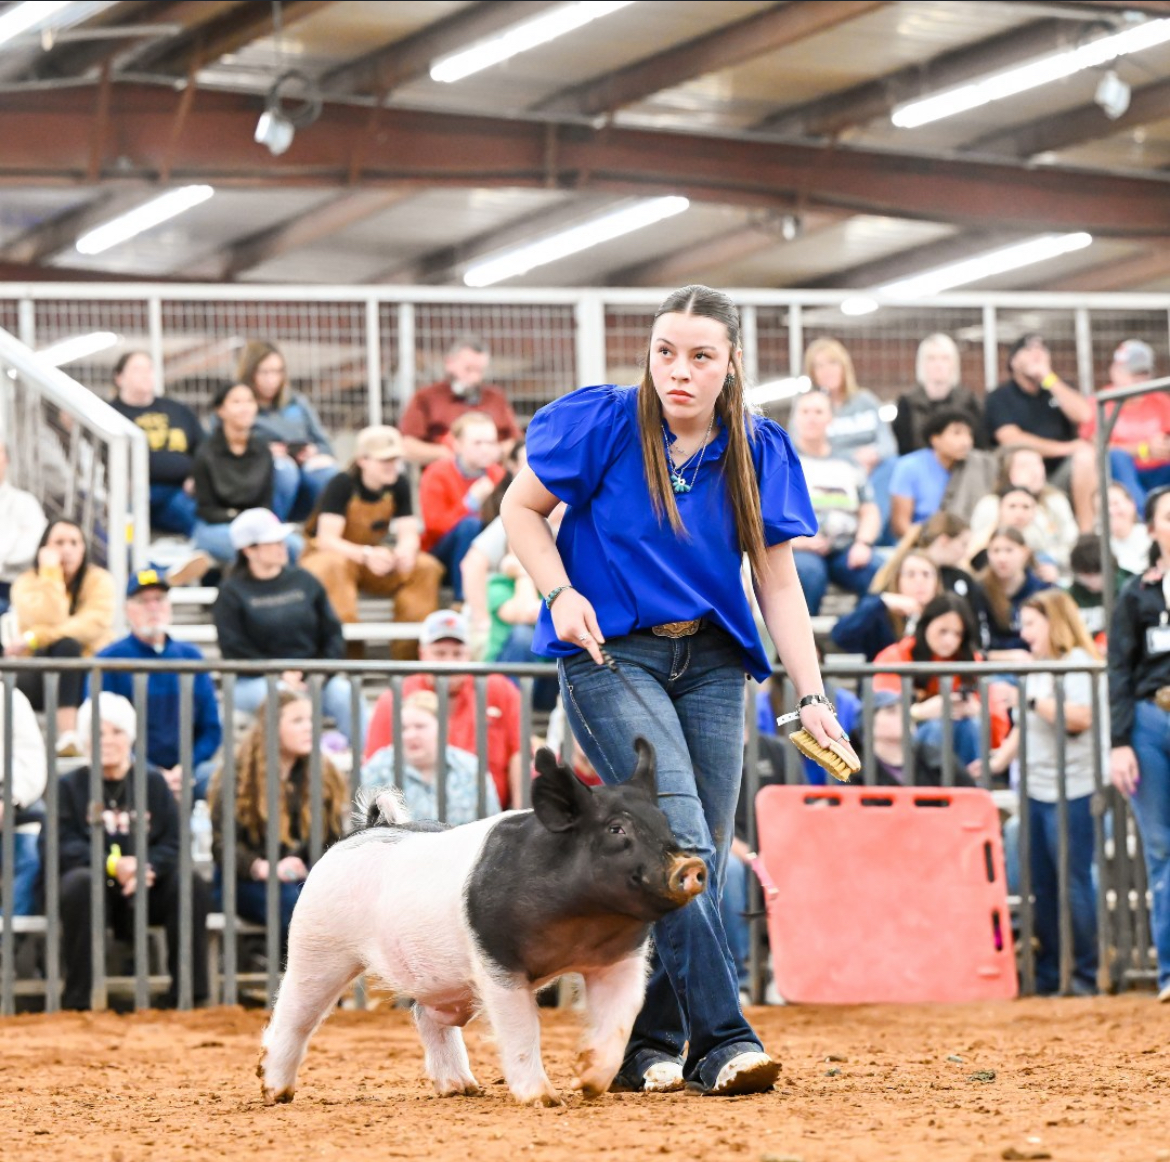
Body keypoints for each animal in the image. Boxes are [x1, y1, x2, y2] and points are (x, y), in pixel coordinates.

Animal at [258, 736, 706, 1107]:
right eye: (616, 829)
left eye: (664, 825)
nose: (692, 865)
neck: (583, 927)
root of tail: (367, 829)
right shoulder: (496, 959)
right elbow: (521, 1028)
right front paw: (546, 1099)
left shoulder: (619, 960)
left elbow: (619, 1018)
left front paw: (588, 1083)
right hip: (316, 943)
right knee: (294, 1014)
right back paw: (275, 1092)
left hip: (436, 974)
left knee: (425, 1016)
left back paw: (462, 1089)